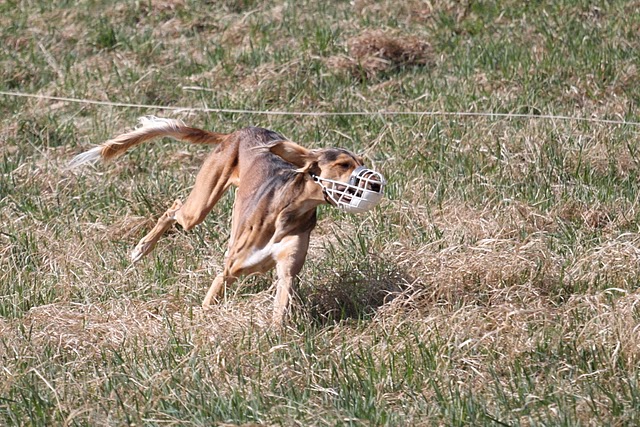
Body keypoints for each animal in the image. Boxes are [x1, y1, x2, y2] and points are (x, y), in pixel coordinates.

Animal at [70, 117, 386, 325]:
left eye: (361, 162)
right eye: (343, 164)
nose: (376, 184)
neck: (291, 210)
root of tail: (238, 131)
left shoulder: (287, 270)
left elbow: (281, 302)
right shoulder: (230, 269)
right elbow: (210, 300)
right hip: (199, 206)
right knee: (174, 208)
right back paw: (142, 247)